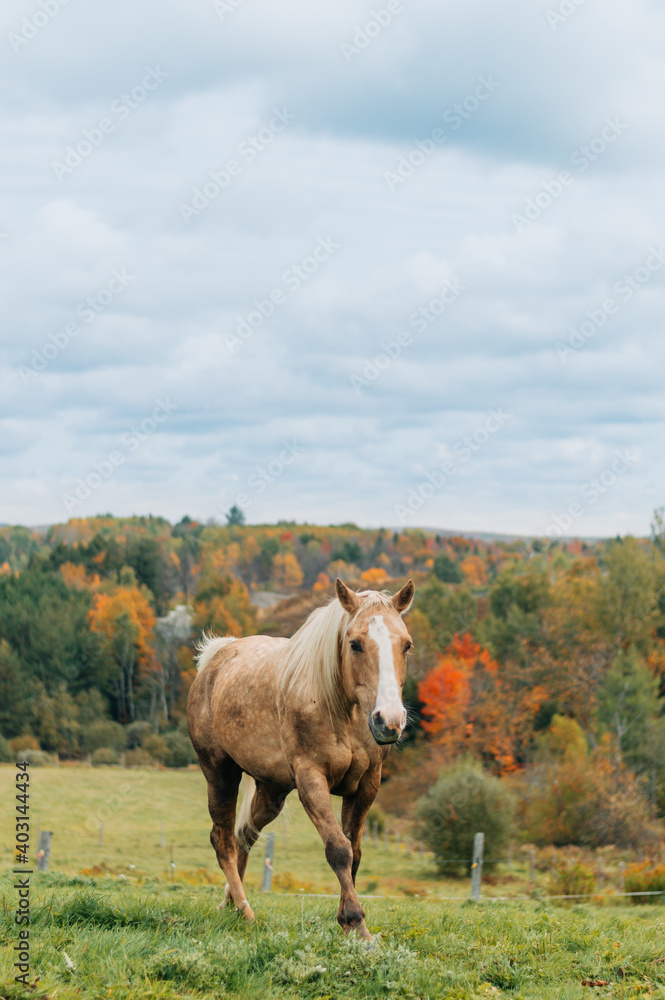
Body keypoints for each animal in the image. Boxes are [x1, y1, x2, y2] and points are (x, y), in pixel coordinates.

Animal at [186, 577, 415, 939]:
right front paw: (357, 924)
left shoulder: (366, 786)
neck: (338, 708)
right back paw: (245, 911)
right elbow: (338, 849)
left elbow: (355, 852)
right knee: (222, 840)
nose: (389, 720)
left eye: (406, 645)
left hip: (271, 791)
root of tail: (216, 658)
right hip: (220, 774)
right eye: (355, 644)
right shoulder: (311, 780)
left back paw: (230, 904)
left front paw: (347, 923)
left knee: (243, 836)